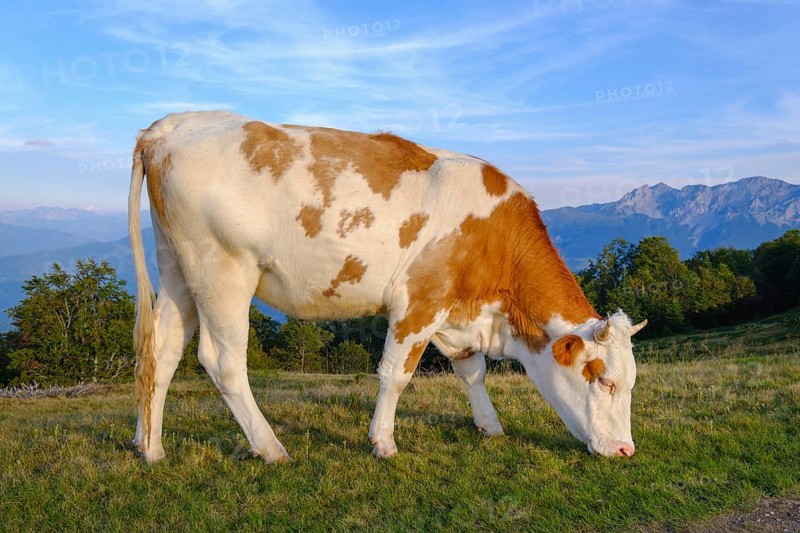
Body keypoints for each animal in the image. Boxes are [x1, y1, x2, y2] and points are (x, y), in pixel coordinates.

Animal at [128, 111, 646, 464]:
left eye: (630, 382)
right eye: (605, 380)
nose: (625, 449)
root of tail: (172, 126)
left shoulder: (457, 314)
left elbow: (471, 371)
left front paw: (490, 426)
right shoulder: (420, 301)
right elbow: (396, 374)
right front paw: (383, 442)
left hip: (177, 266)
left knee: (162, 350)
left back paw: (150, 446)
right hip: (224, 269)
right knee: (223, 362)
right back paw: (271, 447)